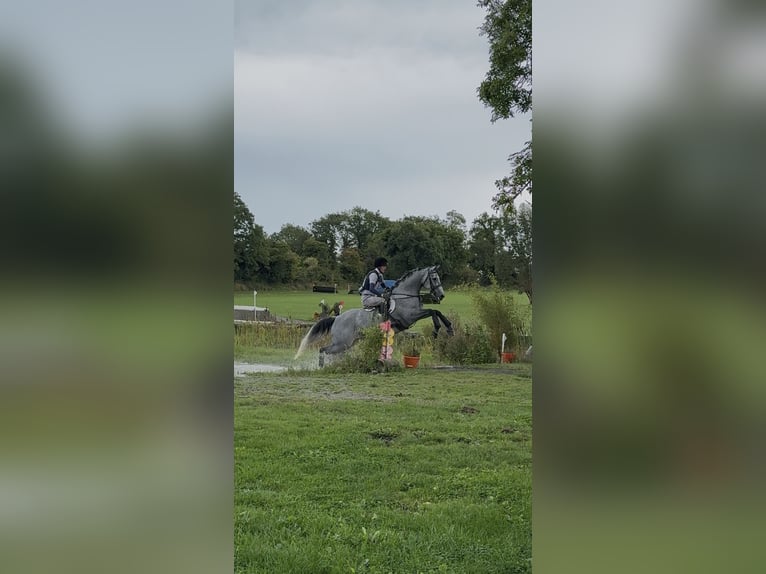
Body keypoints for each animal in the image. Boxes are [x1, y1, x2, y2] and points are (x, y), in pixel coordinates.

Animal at [294, 266, 454, 365]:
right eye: (434, 279)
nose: (441, 296)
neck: (405, 295)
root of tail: (337, 318)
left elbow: (436, 311)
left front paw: (450, 329)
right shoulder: (410, 316)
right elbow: (432, 311)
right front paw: (436, 329)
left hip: (348, 343)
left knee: (333, 354)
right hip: (342, 343)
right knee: (323, 350)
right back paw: (322, 367)